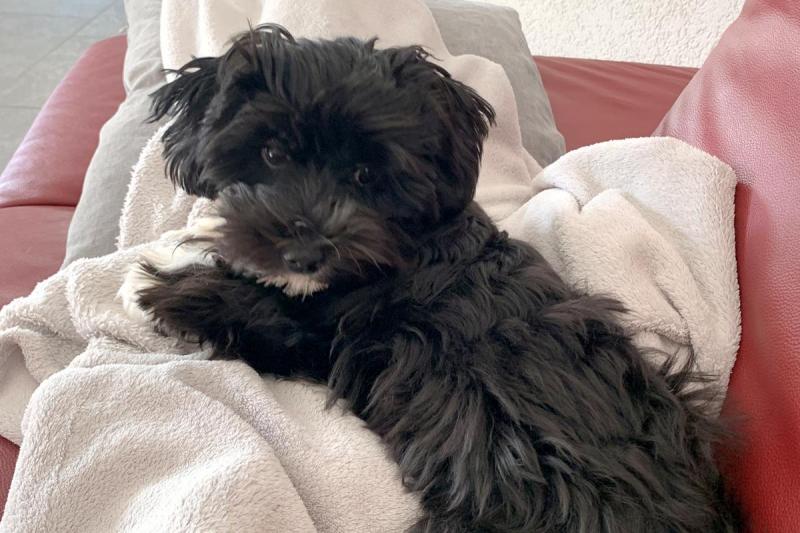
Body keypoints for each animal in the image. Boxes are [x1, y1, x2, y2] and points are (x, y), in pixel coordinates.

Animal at [124, 24, 739, 532]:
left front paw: (166, 291)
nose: (305, 253)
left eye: (365, 173)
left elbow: (257, 310)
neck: (411, 238)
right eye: (271, 152)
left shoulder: (326, 335)